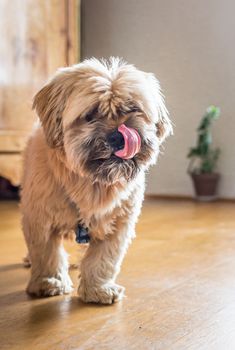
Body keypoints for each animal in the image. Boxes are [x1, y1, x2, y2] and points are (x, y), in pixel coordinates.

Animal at [20, 57, 173, 304]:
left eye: (133, 109)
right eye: (90, 115)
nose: (119, 135)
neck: (91, 183)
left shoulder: (119, 223)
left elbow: (104, 259)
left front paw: (98, 289)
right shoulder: (40, 219)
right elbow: (46, 253)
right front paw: (49, 282)